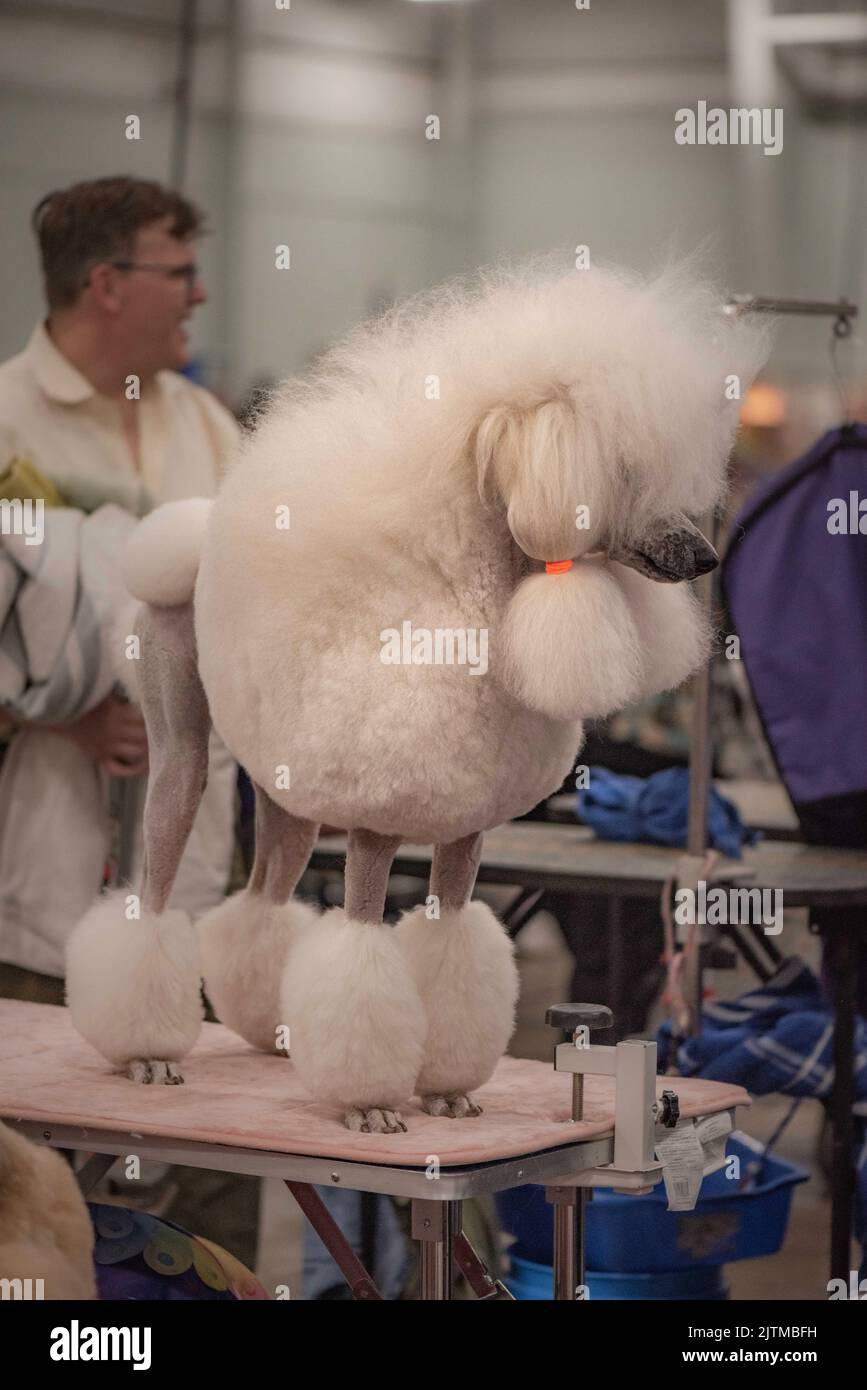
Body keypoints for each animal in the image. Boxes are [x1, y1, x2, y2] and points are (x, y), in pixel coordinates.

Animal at [71, 258, 766, 1128]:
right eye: (626, 472)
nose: (706, 558)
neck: (467, 601)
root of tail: (187, 542)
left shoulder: (464, 833)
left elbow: (451, 950)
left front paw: (444, 1090)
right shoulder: (375, 831)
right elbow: (363, 956)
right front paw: (371, 1105)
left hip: (287, 796)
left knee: (263, 899)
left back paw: (272, 1029)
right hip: (180, 749)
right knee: (157, 881)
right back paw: (146, 1051)